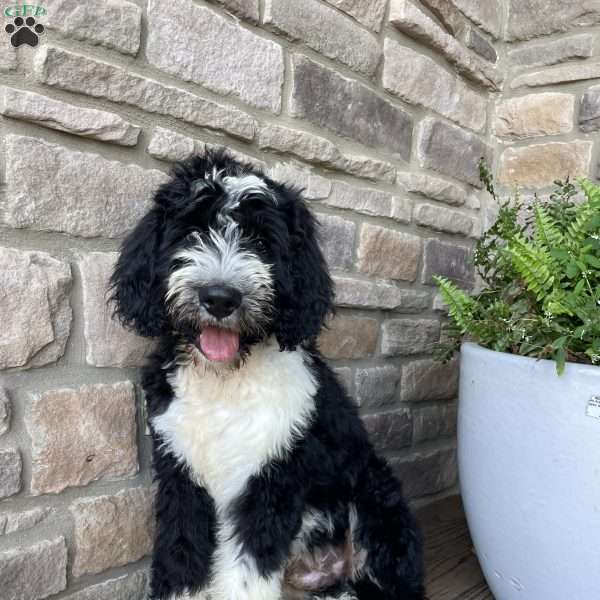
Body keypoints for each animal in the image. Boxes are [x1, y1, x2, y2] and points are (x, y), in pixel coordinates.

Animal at [110, 151, 424, 600]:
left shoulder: (271, 481)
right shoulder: (182, 476)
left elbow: (246, 575)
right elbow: (180, 554)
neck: (224, 379)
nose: (220, 298)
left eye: (260, 243)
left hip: (375, 499)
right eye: (192, 232)